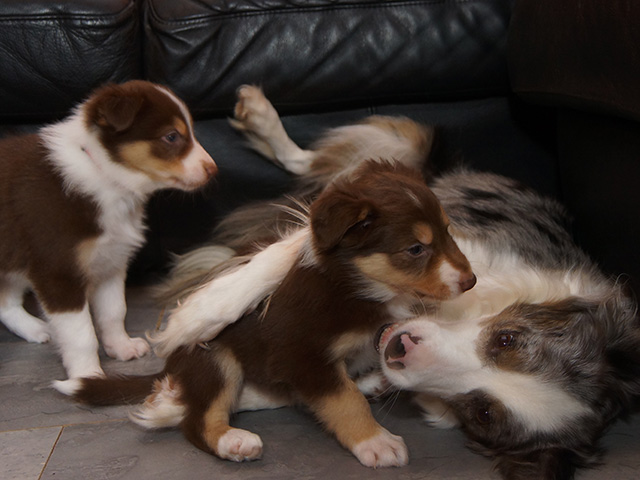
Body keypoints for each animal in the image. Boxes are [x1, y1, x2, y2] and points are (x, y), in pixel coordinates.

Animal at [0, 80, 217, 382]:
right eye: (171, 136)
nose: (213, 170)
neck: (105, 174)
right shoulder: (58, 272)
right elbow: (81, 334)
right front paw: (87, 375)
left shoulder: (111, 261)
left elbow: (114, 311)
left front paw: (122, 347)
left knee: (6, 301)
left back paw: (36, 329)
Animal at [141, 86, 639, 478]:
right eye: (507, 339)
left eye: (482, 414)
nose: (400, 349)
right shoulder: (443, 232)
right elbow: (287, 252)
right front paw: (197, 318)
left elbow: (305, 383)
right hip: (404, 154)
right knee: (319, 165)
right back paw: (261, 116)